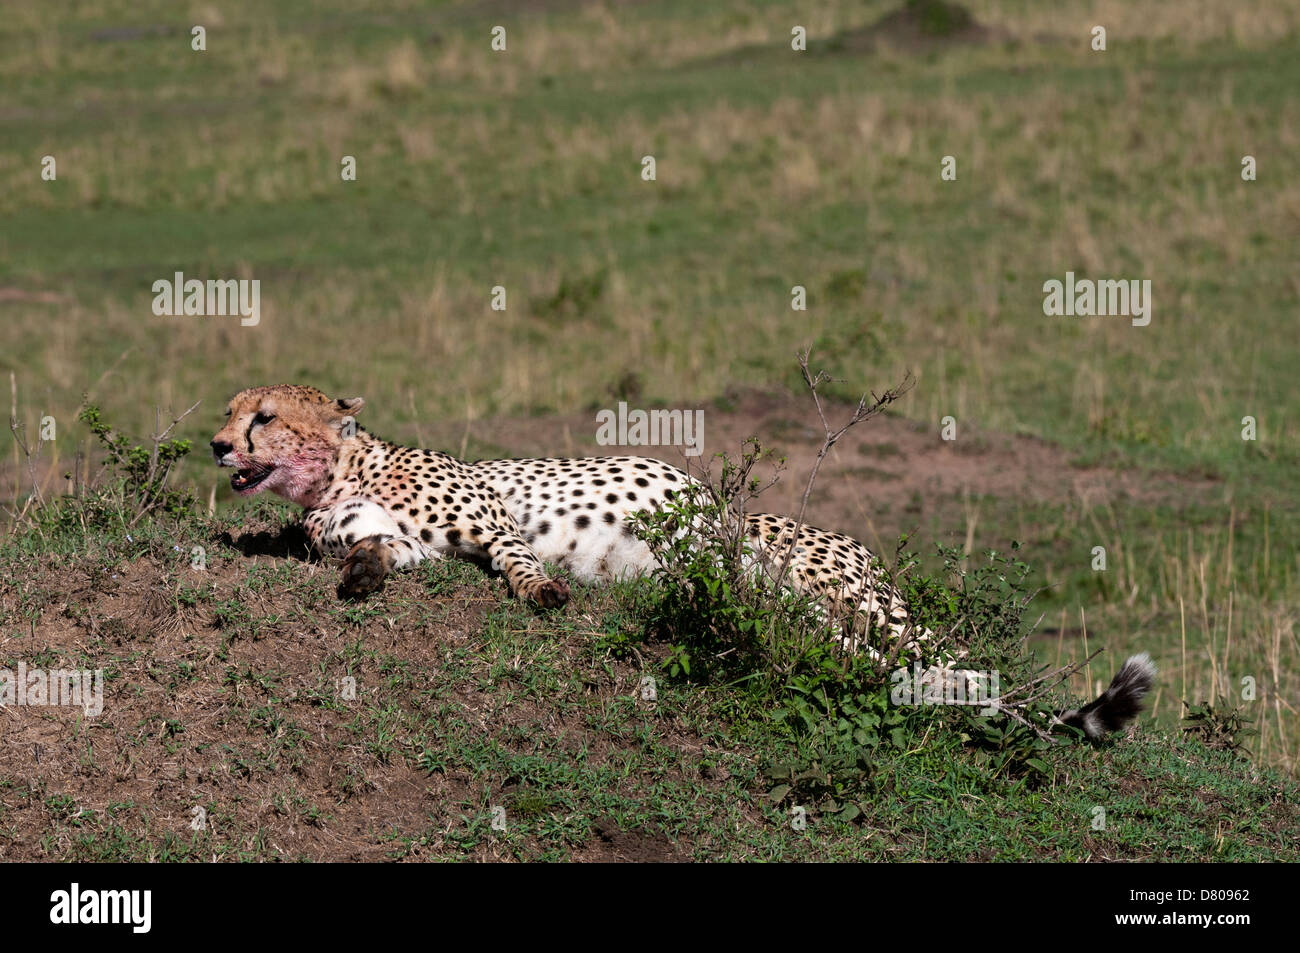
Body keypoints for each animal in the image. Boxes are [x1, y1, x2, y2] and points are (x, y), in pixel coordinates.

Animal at [213, 382, 1159, 738]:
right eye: (232, 412)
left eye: (263, 415)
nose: (218, 444)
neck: (340, 474)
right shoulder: (405, 541)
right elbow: (378, 554)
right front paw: (358, 575)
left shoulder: (491, 518)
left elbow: (518, 563)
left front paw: (543, 590)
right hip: (804, 618)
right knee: (886, 666)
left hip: (830, 589)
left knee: (936, 655)